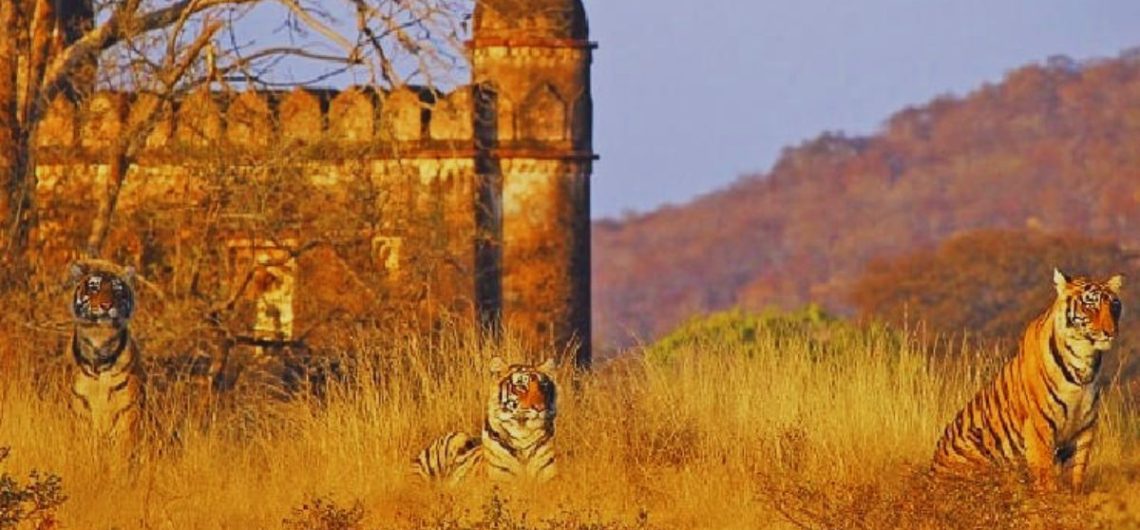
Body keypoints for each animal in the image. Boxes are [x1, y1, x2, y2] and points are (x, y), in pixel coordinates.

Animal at [67, 262, 147, 449]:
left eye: (117, 290)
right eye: (94, 287)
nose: (106, 305)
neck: (100, 341)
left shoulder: (126, 409)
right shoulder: (81, 406)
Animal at [931, 268, 1123, 492]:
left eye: (1114, 306)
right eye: (1090, 305)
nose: (1111, 332)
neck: (1084, 359)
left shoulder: (1084, 426)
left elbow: (1076, 471)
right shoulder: (1039, 423)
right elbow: (1045, 471)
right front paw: (1049, 497)